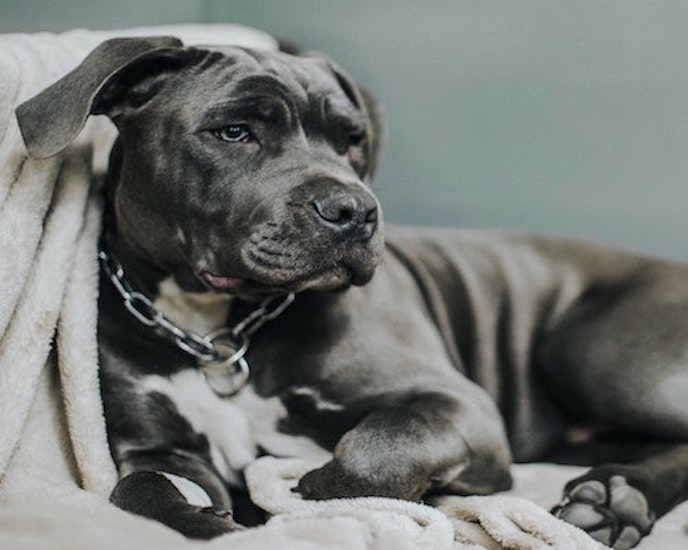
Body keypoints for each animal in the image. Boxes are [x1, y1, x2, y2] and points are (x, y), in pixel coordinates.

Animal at [14, 36, 688, 548]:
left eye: (352, 139)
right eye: (233, 132)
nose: (355, 211)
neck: (219, 330)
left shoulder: (458, 405)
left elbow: (371, 452)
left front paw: (307, 491)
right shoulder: (156, 445)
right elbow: (136, 489)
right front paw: (208, 522)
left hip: (590, 354)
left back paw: (612, 500)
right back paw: (615, 497)